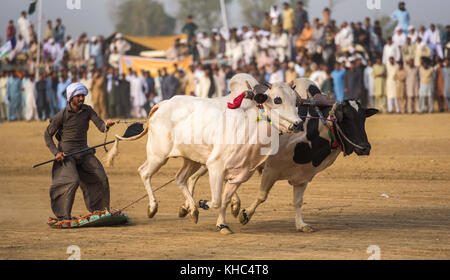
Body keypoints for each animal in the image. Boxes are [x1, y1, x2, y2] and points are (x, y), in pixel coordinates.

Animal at [106, 72, 302, 234]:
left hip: (190, 159)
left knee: (180, 178)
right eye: (277, 100)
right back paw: (154, 207)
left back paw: (191, 209)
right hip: (158, 155)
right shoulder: (215, 166)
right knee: (144, 172)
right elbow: (216, 201)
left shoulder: (241, 173)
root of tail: (162, 104)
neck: (250, 123)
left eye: (296, 102)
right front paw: (203, 204)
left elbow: (225, 200)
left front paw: (222, 225)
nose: (298, 124)